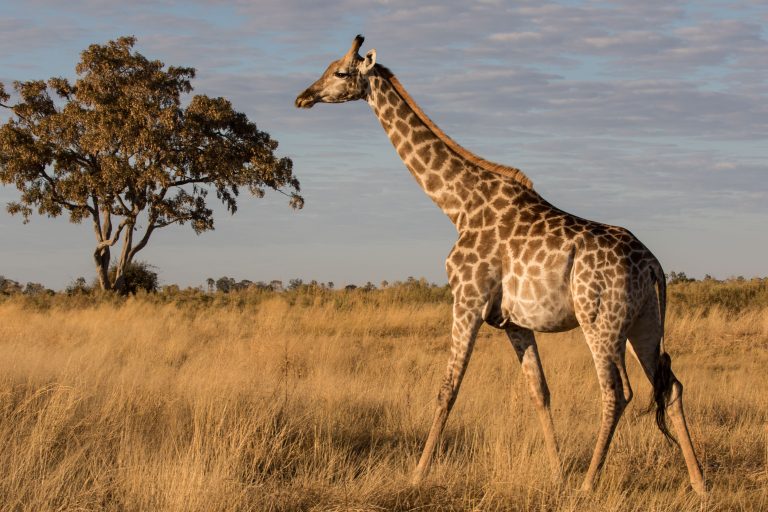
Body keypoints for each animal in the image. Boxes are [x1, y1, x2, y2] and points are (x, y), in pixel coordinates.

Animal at [295, 35, 706, 495]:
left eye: (340, 71)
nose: (303, 97)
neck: (457, 205)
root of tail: (653, 265)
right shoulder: (514, 321)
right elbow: (540, 392)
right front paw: (556, 474)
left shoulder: (467, 300)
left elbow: (448, 389)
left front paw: (418, 473)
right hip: (644, 323)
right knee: (671, 386)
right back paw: (698, 483)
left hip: (600, 320)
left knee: (617, 392)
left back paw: (588, 484)